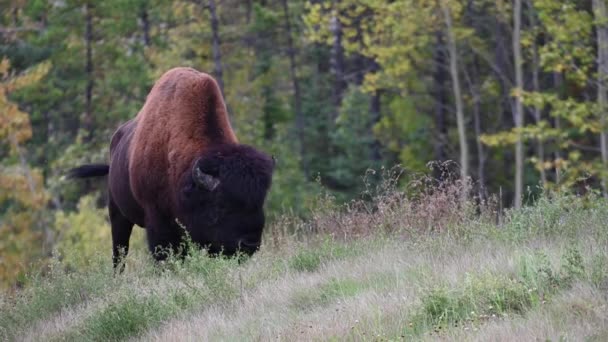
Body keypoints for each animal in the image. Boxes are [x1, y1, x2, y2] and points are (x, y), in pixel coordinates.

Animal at [67, 68, 274, 268]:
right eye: (220, 205)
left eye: (260, 201)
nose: (250, 244)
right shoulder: (157, 220)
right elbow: (163, 254)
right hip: (117, 213)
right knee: (120, 252)